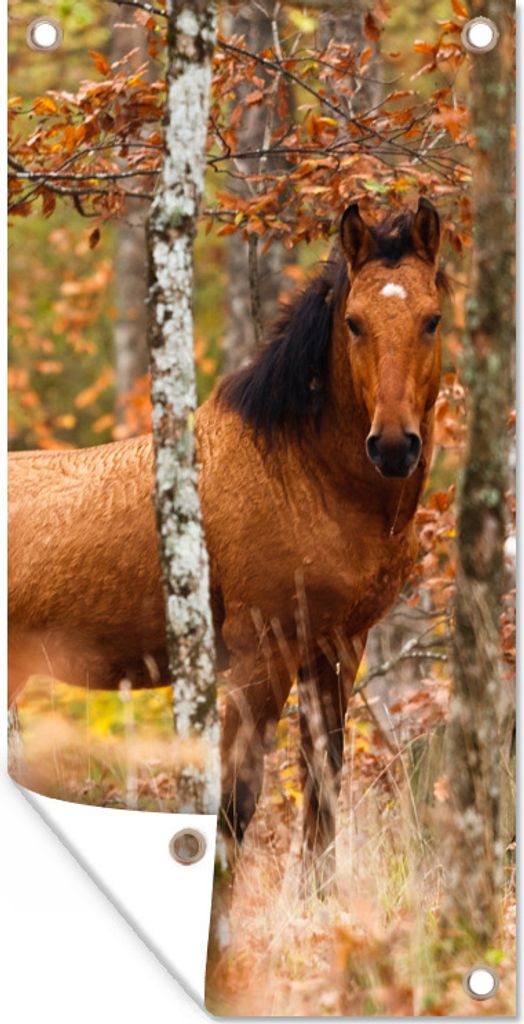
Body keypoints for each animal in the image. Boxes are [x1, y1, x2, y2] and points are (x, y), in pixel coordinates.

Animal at [8, 198, 446, 880]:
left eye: (432, 319)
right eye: (354, 323)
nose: (395, 445)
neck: (304, 477)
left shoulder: (337, 648)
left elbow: (322, 793)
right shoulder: (259, 654)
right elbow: (234, 802)